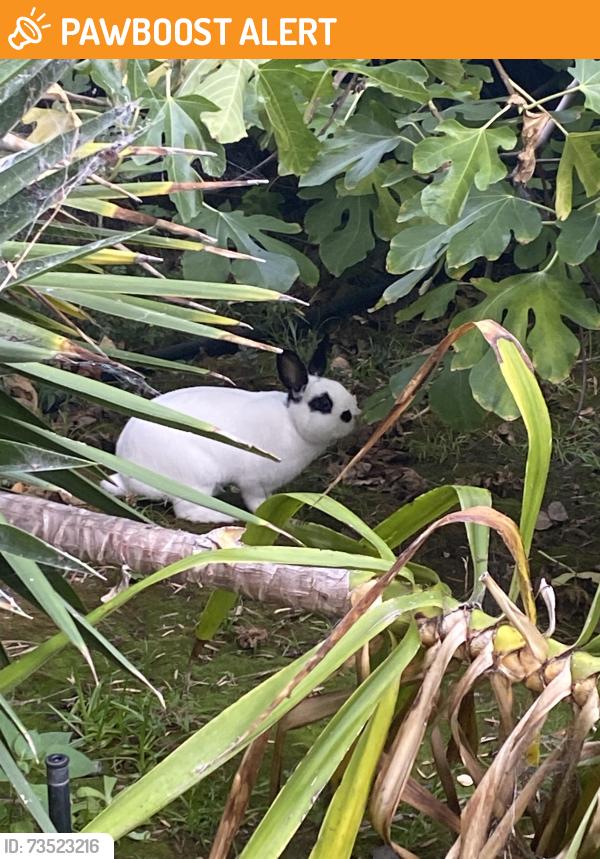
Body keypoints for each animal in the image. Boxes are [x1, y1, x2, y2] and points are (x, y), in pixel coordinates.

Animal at [100, 345, 360, 524]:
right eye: (323, 403)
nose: (353, 415)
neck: (292, 422)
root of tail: (128, 476)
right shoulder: (253, 481)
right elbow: (257, 503)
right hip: (197, 477)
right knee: (186, 510)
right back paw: (224, 516)